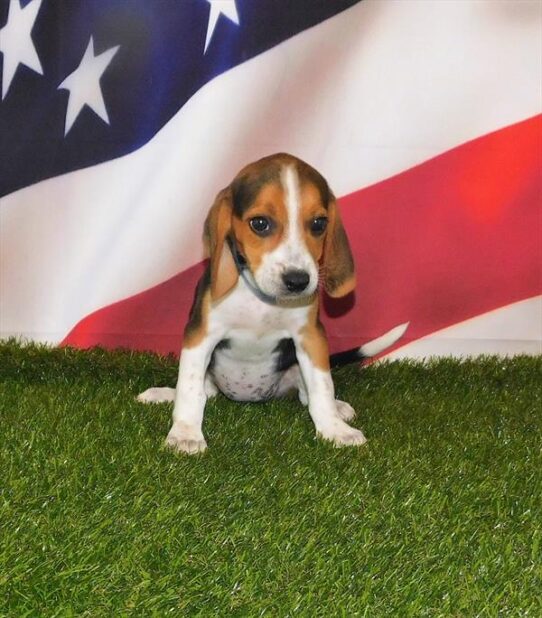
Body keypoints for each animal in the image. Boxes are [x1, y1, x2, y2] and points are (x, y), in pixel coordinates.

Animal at [140, 154, 408, 452]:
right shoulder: (201, 335)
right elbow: (189, 390)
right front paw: (186, 433)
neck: (263, 299)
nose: (298, 280)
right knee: (203, 390)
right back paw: (163, 394)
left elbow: (322, 388)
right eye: (259, 223)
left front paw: (335, 429)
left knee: (306, 394)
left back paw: (338, 408)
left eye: (319, 224)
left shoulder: (310, 337)